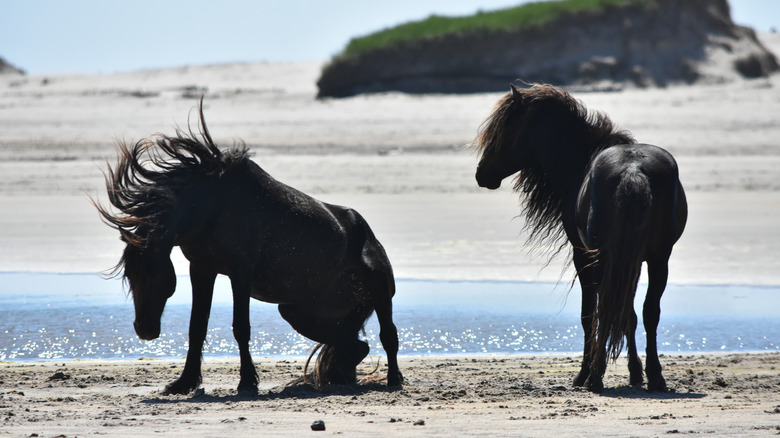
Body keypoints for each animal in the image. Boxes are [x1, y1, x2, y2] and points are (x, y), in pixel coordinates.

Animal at [94, 101, 402, 396]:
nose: (144, 329)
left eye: (153, 274)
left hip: (380, 295)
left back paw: (394, 379)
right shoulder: (202, 268)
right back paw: (340, 377)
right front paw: (184, 382)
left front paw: (246, 383)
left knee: (388, 335)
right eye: (130, 276)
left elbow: (241, 327)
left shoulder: (239, 272)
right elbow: (197, 327)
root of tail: (368, 235)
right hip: (298, 312)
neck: (211, 206)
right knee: (355, 345)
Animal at [472, 84, 684, 392]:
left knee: (604, 309)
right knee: (647, 311)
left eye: (505, 129)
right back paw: (655, 377)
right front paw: (635, 373)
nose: (481, 173)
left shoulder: (581, 254)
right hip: (657, 258)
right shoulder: (632, 260)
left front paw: (584, 374)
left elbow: (589, 315)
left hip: (605, 257)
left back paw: (594, 375)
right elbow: (629, 314)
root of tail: (633, 172)